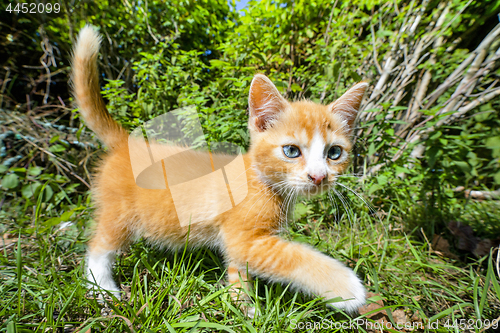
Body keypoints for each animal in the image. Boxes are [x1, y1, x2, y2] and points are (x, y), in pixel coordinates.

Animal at [71, 26, 368, 314]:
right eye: (292, 151)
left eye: (334, 153)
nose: (319, 177)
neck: (261, 181)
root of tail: (127, 143)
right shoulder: (245, 239)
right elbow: (292, 257)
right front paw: (345, 287)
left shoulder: (239, 246)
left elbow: (238, 269)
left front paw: (244, 309)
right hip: (119, 213)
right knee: (98, 247)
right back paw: (103, 289)